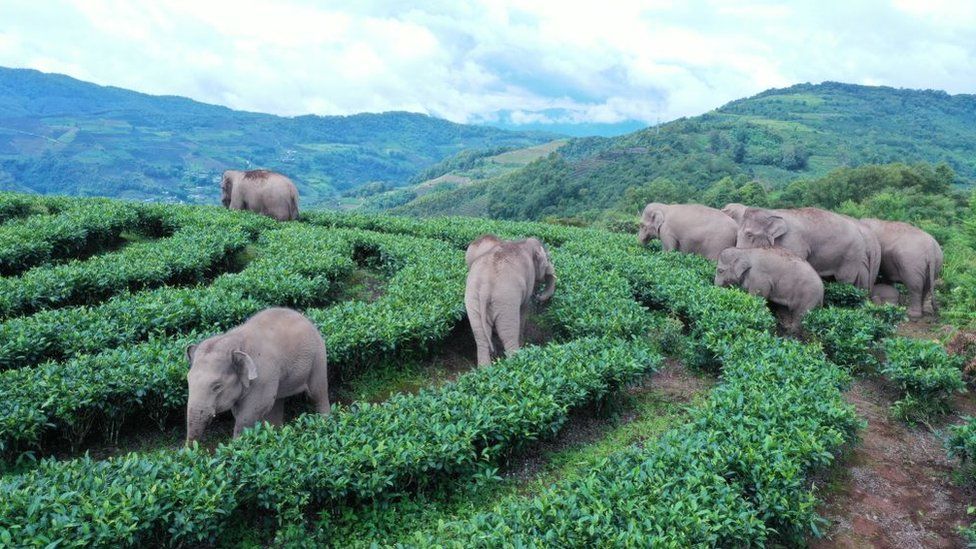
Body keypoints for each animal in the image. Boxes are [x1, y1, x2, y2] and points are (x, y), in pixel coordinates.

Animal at [185, 306, 330, 444]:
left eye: (217, 386)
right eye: (188, 381)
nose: (192, 449)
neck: (235, 340)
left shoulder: (263, 376)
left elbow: (249, 413)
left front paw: (237, 445)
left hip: (318, 358)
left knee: (318, 393)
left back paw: (325, 423)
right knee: (277, 401)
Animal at [468, 234, 556, 366]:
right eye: (548, 259)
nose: (539, 296)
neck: (524, 242)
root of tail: (485, 287)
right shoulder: (529, 276)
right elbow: (524, 308)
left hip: (472, 300)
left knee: (481, 337)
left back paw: (485, 368)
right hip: (505, 300)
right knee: (508, 334)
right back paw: (516, 360)